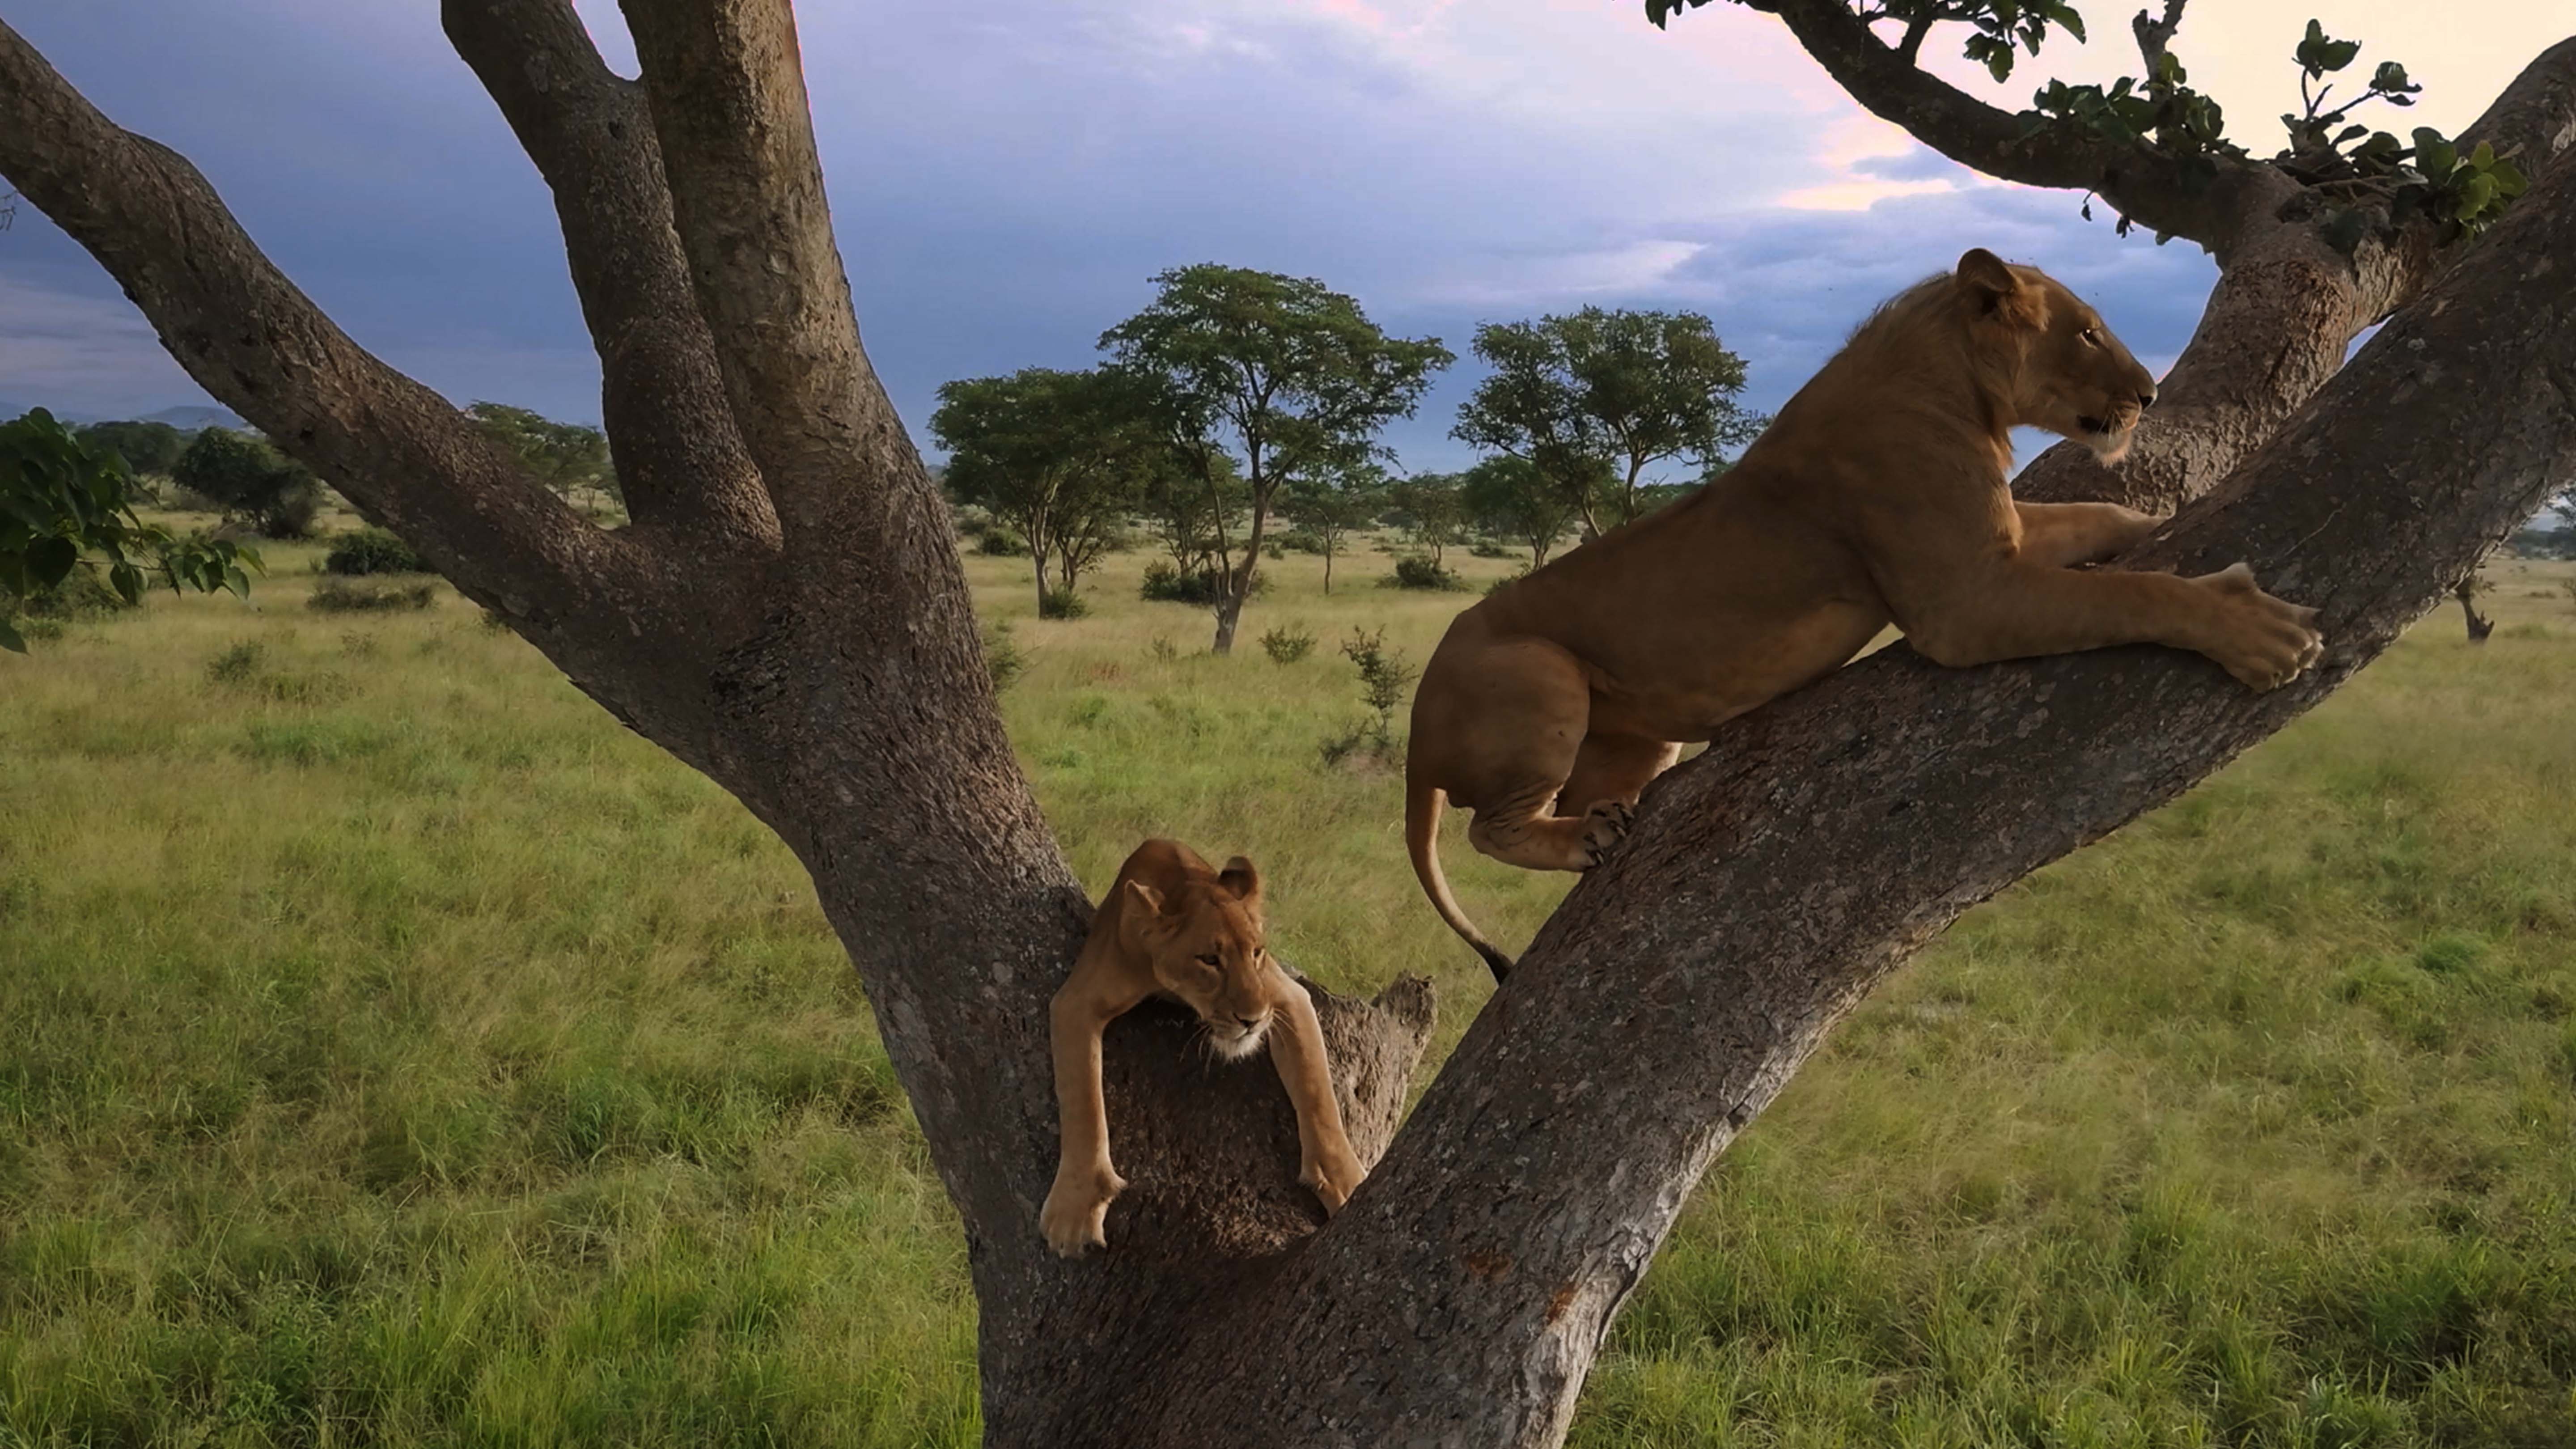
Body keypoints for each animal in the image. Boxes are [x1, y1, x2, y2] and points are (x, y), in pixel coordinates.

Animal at [1411, 247, 2339, 974]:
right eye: (2085, 333)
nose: (2148, 396)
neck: (1960, 387)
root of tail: (1420, 733)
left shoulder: (1996, 547)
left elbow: (2105, 520)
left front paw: (2155, 523)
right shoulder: (1966, 602)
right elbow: (2136, 590)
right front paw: (2259, 633)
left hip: (1634, 740)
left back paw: (1603, 823)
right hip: (1534, 671)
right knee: (1489, 830)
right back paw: (1582, 838)